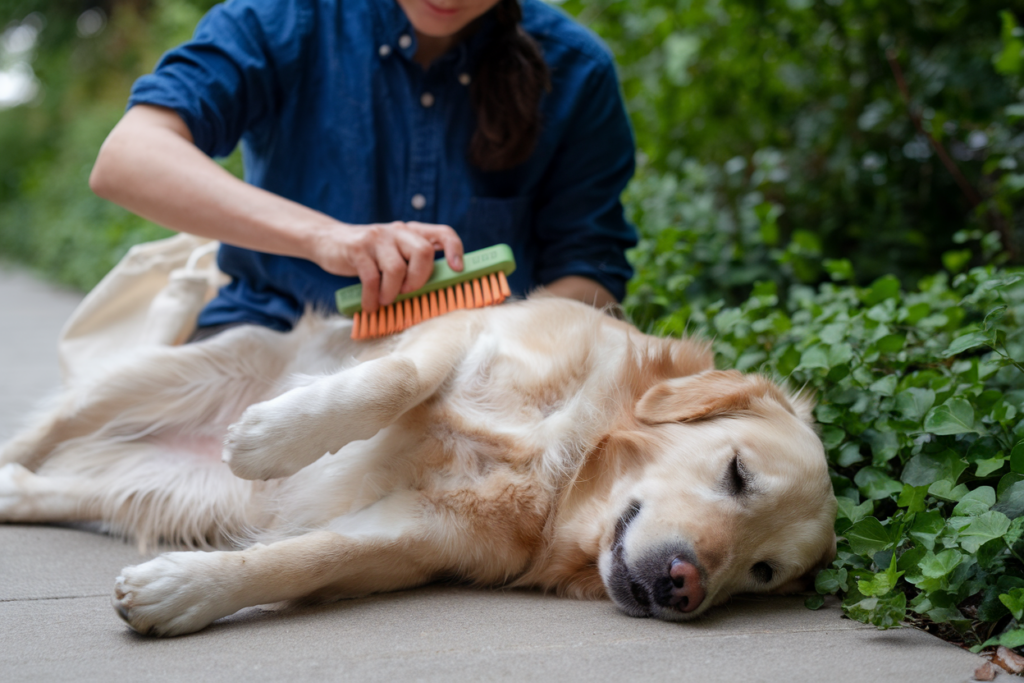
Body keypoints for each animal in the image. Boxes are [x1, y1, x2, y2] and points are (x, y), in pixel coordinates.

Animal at [0, 296, 831, 638]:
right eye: (735, 472)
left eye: (761, 572)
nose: (687, 586)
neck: (563, 475)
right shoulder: (462, 332)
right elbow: (395, 378)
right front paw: (273, 436)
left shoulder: (413, 536)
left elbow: (308, 556)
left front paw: (185, 590)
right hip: (180, 371)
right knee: (56, 424)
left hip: (181, 496)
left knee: (57, 487)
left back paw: (15, 490)